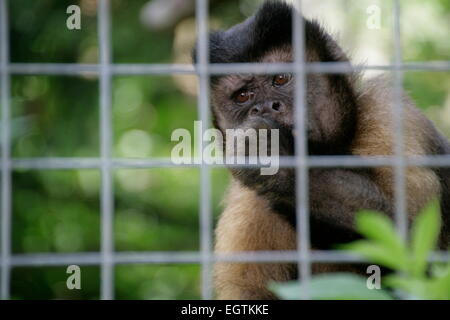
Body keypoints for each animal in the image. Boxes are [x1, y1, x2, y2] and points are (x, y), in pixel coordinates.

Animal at [192, 0, 448, 300]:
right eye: (243, 96)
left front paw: (277, 159)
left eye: (281, 79)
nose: (264, 107)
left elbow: (417, 257)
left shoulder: (390, 113)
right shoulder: (246, 201)